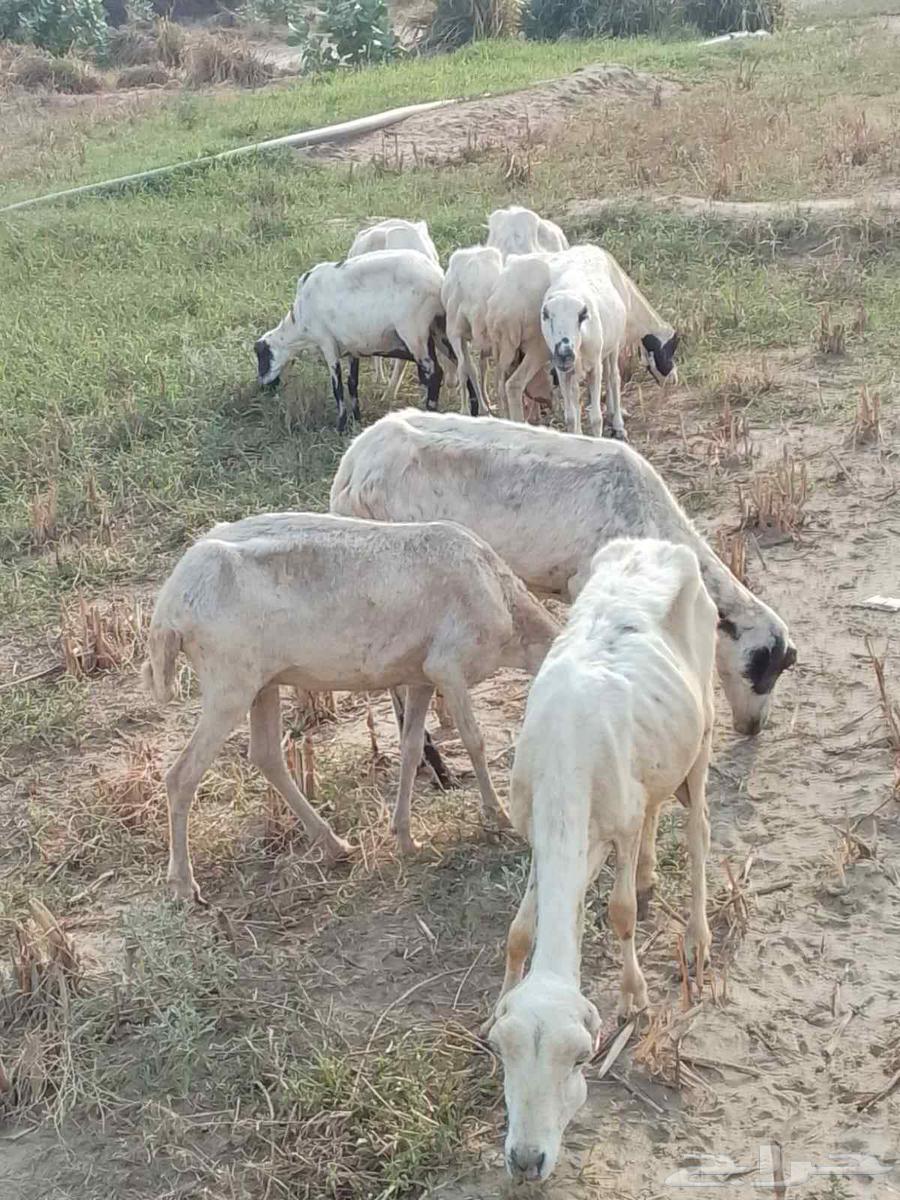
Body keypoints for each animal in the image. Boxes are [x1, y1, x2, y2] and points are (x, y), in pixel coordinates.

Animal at [140, 511, 559, 901]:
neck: (506, 607)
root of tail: (166, 609)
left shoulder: (421, 675)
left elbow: (410, 748)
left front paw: (406, 837)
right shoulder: (449, 664)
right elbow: (474, 740)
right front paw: (498, 817)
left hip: (261, 682)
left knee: (266, 754)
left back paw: (335, 845)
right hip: (228, 682)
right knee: (182, 775)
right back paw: (183, 884)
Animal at [253, 250, 448, 432]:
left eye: (261, 356)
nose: (262, 387)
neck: (299, 326)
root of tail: (437, 277)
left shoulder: (327, 343)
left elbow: (337, 386)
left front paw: (340, 425)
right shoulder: (352, 348)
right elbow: (352, 383)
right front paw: (356, 419)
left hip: (414, 331)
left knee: (435, 372)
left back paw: (430, 411)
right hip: (437, 331)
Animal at [440, 245, 503, 416]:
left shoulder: (457, 334)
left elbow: (469, 368)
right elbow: (478, 368)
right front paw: (485, 405)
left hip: (455, 329)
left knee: (464, 367)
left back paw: (467, 409)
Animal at [484, 537, 717, 1183]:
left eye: (580, 1059)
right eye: (503, 1052)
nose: (526, 1160)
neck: (567, 751)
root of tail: (657, 544)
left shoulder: (620, 822)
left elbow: (619, 913)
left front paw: (634, 997)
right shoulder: (537, 827)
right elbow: (520, 929)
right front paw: (497, 997)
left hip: (705, 726)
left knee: (697, 828)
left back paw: (697, 936)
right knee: (658, 802)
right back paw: (650, 874)